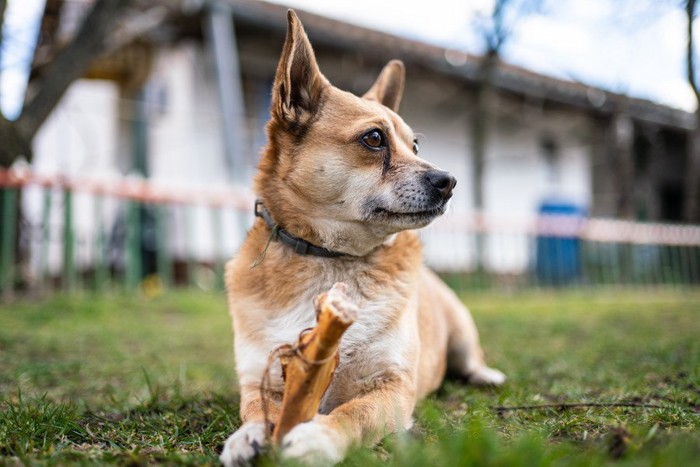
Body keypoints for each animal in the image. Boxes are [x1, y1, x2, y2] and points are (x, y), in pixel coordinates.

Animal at [219, 10, 504, 464]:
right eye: (374, 138)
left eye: (415, 145)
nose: (449, 181)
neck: (328, 257)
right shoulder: (259, 378)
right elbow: (259, 410)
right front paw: (247, 436)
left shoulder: (392, 387)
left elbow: (354, 413)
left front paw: (319, 437)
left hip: (461, 331)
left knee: (470, 361)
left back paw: (485, 375)